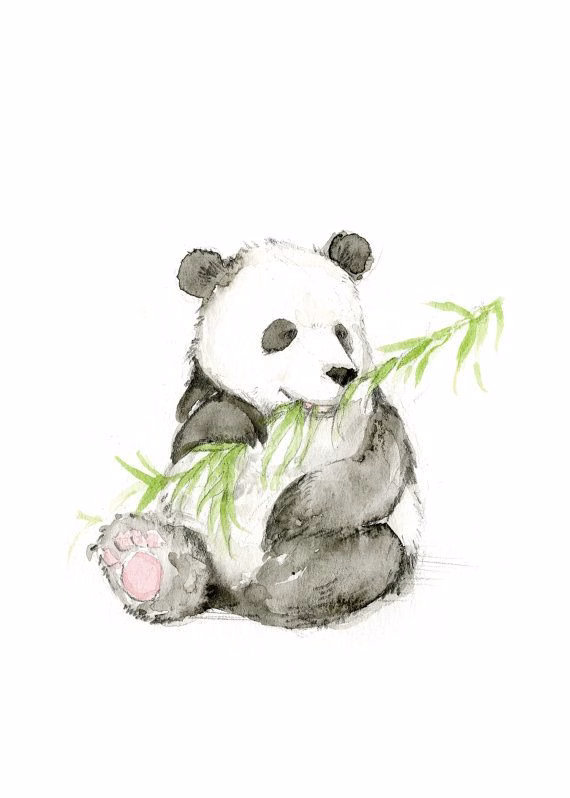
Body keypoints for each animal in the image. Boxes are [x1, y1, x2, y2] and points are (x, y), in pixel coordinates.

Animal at [91, 232, 422, 628]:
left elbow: (376, 472)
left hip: (356, 546)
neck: (297, 414)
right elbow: (196, 435)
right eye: (283, 333)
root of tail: (230, 588)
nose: (342, 373)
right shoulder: (202, 410)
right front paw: (239, 424)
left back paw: (273, 584)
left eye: (342, 333)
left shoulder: (371, 417)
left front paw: (288, 514)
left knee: (355, 562)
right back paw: (141, 561)